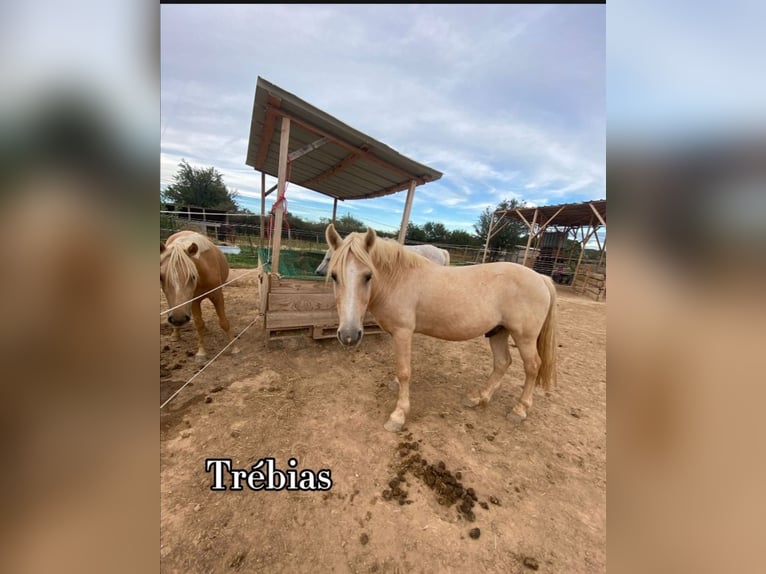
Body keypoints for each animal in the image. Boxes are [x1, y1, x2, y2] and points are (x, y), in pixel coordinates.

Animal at [159, 230, 237, 360]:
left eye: (193, 276)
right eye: (161, 277)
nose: (178, 319)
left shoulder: (217, 295)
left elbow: (224, 322)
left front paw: (233, 348)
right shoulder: (194, 301)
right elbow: (199, 324)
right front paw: (201, 353)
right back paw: (175, 334)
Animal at [326, 225, 560, 432]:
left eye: (368, 276)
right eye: (335, 276)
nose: (348, 335)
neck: (398, 279)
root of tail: (540, 278)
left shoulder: (403, 332)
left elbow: (404, 371)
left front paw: (398, 415)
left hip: (524, 337)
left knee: (532, 367)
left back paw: (519, 410)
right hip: (499, 331)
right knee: (502, 363)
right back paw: (479, 397)